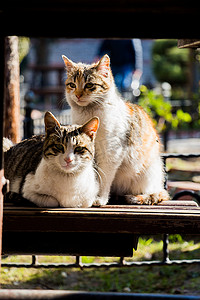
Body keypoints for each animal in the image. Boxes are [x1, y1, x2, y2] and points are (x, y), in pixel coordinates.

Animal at [62, 54, 169, 205]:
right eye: (72, 85)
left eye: (89, 85)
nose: (77, 94)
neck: (88, 112)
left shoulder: (110, 152)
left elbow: (104, 178)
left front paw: (100, 198)